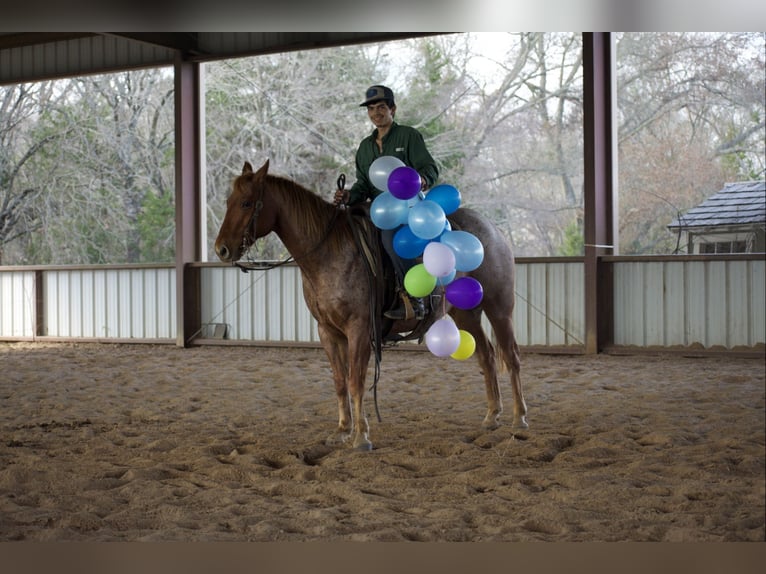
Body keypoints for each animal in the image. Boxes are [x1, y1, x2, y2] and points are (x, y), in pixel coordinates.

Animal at [214, 160, 528, 451]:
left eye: (246, 203)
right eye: (228, 201)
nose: (221, 249)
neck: (329, 253)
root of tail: (492, 229)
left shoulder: (360, 329)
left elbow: (356, 381)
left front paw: (361, 436)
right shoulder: (327, 331)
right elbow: (340, 381)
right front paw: (342, 430)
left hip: (499, 308)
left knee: (511, 356)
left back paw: (519, 418)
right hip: (466, 312)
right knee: (487, 356)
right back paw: (491, 416)